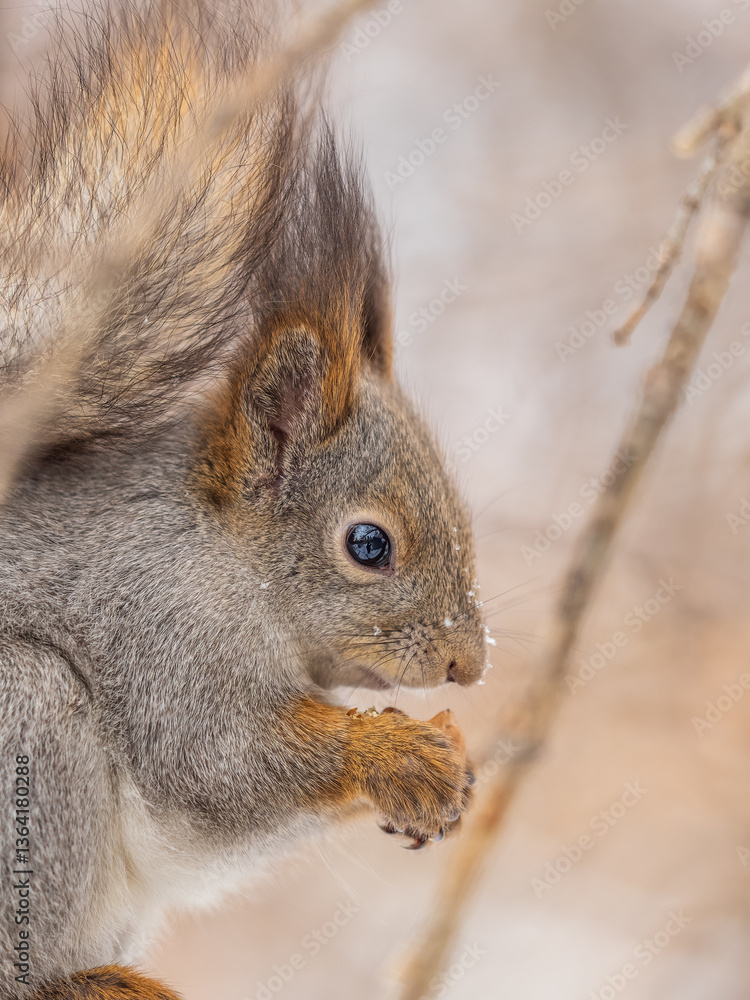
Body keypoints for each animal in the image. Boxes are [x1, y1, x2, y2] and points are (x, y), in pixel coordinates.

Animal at [0, 2, 488, 998]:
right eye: (369, 545)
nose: (470, 663)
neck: (228, 557)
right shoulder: (157, 623)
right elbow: (217, 763)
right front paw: (393, 752)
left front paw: (439, 763)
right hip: (23, 721)